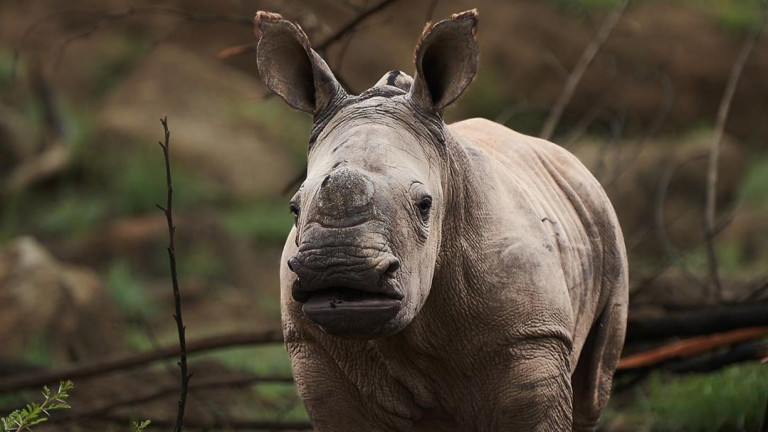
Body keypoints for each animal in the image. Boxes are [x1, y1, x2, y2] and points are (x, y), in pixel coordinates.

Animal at [255, 8, 628, 430]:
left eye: (425, 205)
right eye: (294, 208)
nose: (340, 266)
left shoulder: (532, 336)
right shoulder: (313, 348)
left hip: (602, 217)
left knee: (592, 390)